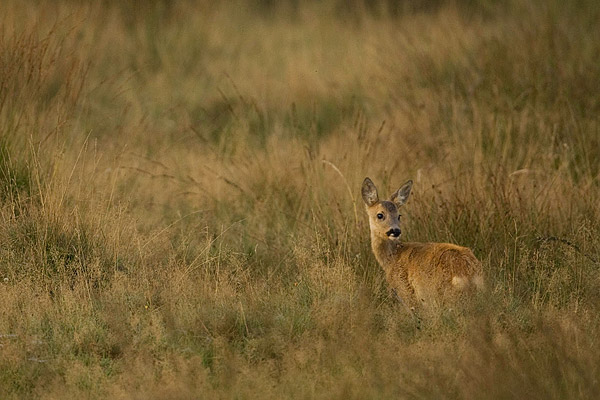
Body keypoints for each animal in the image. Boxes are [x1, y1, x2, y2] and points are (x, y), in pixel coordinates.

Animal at [360, 177, 482, 310]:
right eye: (380, 215)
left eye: (399, 215)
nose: (395, 231)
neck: (391, 258)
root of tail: (471, 274)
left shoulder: (405, 290)